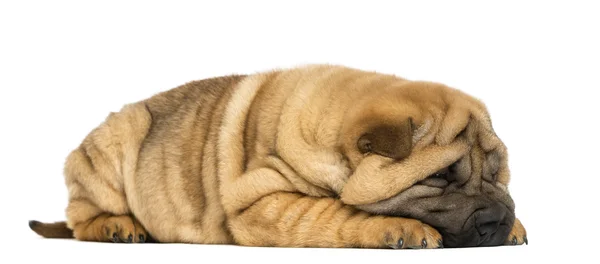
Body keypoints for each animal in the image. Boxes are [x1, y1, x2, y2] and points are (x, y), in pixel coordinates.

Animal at [29, 65, 524, 249]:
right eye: (442, 176)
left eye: (499, 175)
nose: (498, 221)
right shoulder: (260, 201)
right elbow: (336, 214)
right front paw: (401, 227)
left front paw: (516, 224)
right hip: (112, 147)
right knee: (82, 217)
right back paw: (118, 226)